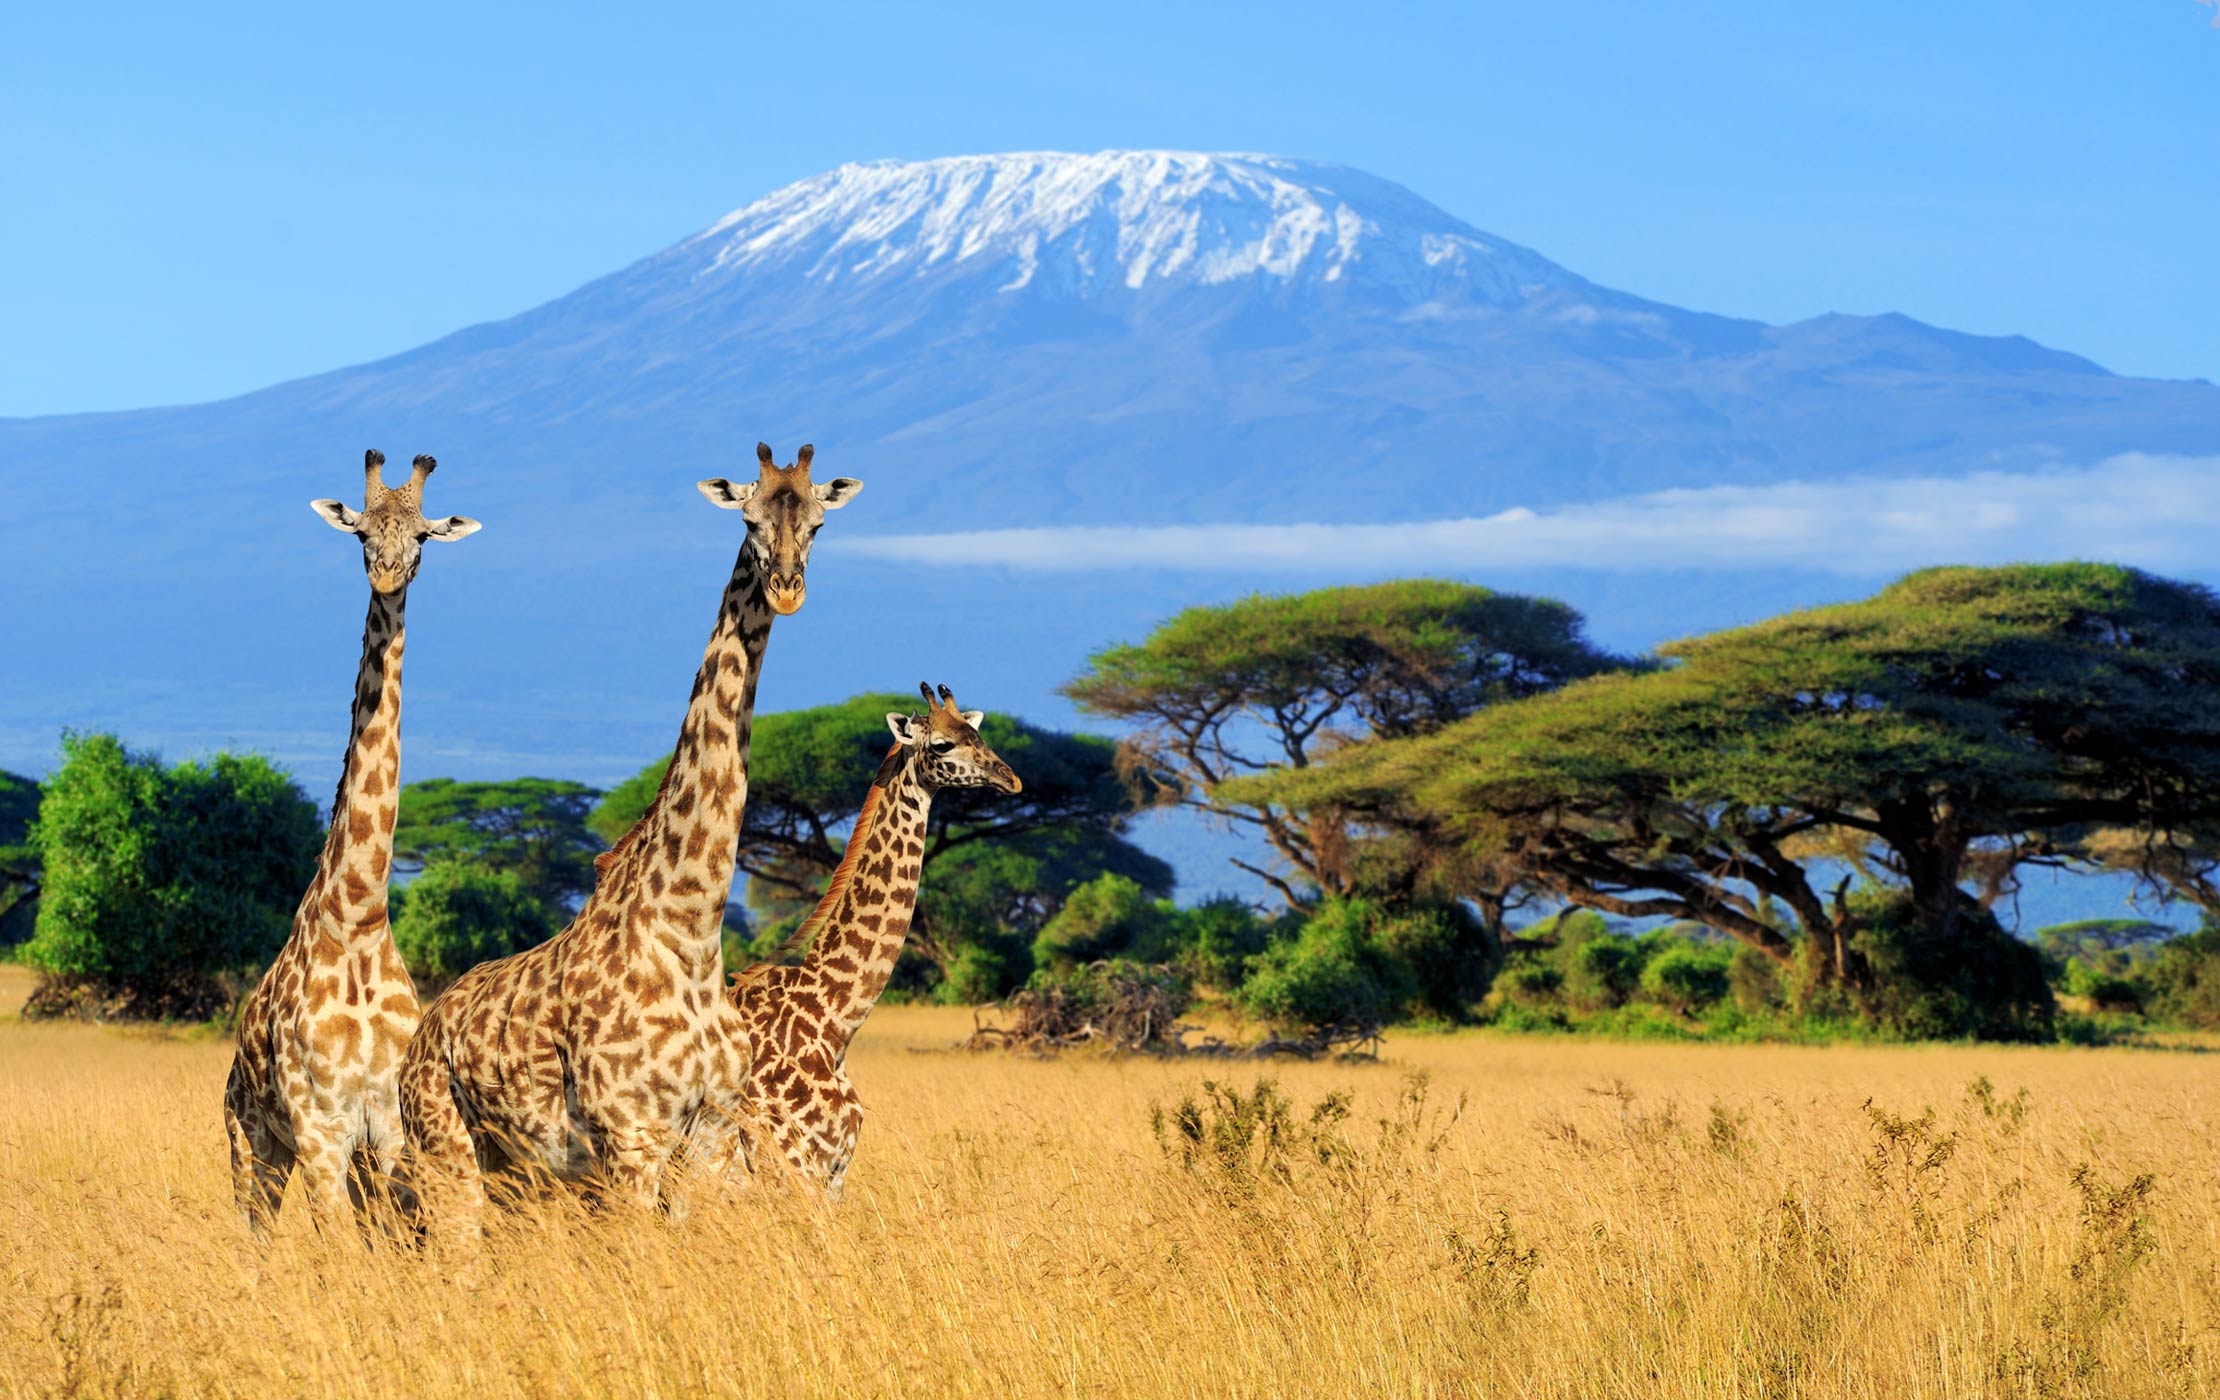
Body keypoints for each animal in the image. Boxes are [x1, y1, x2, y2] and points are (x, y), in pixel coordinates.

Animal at [223, 454, 479, 1242]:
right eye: (362, 532)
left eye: (423, 536)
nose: (388, 576)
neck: (360, 916)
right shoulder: (320, 1129)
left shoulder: (388, 1130)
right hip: (252, 1142)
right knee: (255, 1233)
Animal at [399, 441, 856, 1251]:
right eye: (748, 518)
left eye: (819, 522)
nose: (786, 590)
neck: (691, 929)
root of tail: (418, 1041)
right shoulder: (631, 1139)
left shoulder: (709, 1138)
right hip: (445, 1152)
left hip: (515, 1173)